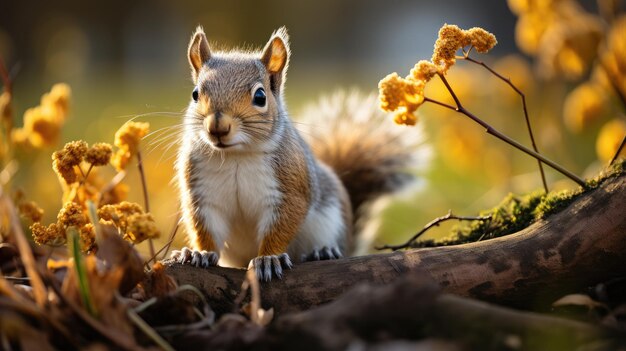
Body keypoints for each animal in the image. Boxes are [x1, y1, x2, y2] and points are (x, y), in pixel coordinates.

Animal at [171, 26, 422, 282]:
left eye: (260, 97)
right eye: (195, 94)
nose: (217, 127)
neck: (236, 157)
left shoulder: (290, 189)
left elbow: (281, 227)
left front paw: (268, 258)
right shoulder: (203, 194)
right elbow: (205, 229)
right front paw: (199, 253)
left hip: (332, 222)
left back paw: (323, 251)